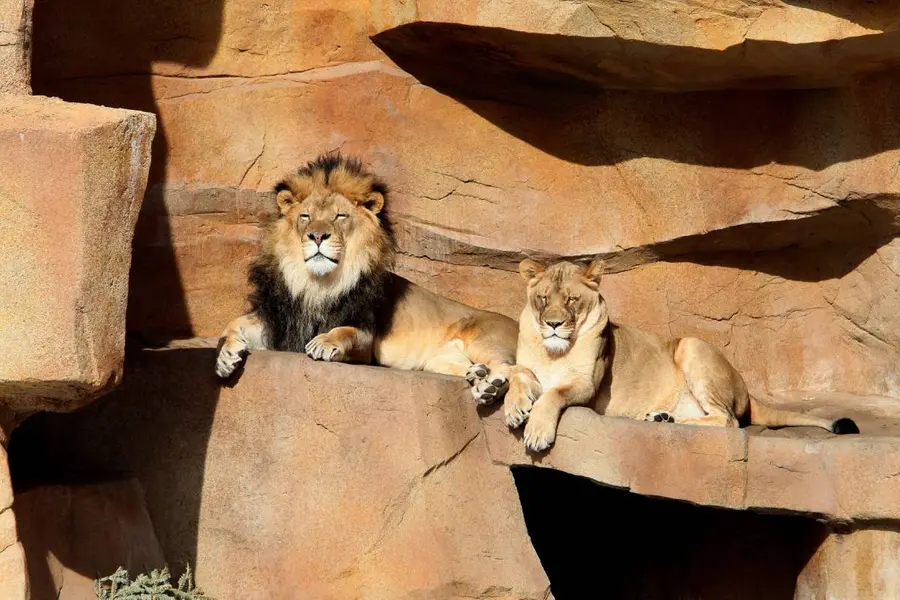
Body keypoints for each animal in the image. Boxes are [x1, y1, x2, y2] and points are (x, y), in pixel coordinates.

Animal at [214, 153, 515, 403]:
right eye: (305, 216)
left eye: (340, 216)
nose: (317, 236)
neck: (315, 284)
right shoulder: (278, 322)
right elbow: (233, 324)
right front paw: (226, 356)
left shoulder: (364, 336)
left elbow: (344, 332)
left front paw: (324, 342)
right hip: (441, 362)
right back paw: (480, 377)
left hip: (485, 339)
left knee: (513, 367)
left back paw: (492, 386)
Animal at [501, 259, 860, 452]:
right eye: (543, 298)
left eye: (572, 300)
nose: (553, 324)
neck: (552, 353)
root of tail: (745, 389)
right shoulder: (528, 365)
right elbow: (519, 373)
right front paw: (515, 408)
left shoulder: (587, 384)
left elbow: (554, 394)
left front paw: (536, 432)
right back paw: (663, 418)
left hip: (692, 346)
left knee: (728, 421)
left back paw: (670, 421)